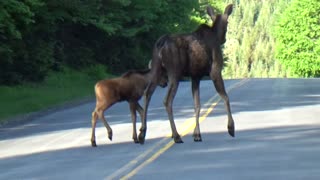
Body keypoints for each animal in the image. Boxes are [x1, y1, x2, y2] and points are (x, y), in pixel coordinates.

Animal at [139, 3, 234, 143]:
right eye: (227, 22)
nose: (224, 39)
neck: (215, 35)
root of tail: (161, 44)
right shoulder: (215, 71)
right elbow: (226, 97)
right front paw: (231, 128)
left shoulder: (195, 76)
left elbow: (197, 105)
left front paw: (197, 134)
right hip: (174, 72)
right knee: (167, 100)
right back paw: (176, 135)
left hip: (156, 68)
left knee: (147, 93)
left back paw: (142, 134)